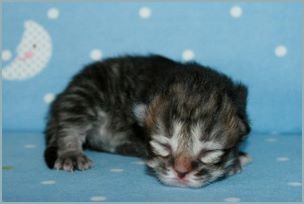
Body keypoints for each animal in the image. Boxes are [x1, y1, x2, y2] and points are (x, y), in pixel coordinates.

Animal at [44, 54, 251, 188]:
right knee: (70, 123)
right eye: (163, 145)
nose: (181, 172)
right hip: (86, 91)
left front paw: (236, 159)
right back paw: (71, 153)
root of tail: (61, 97)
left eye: (209, 152)